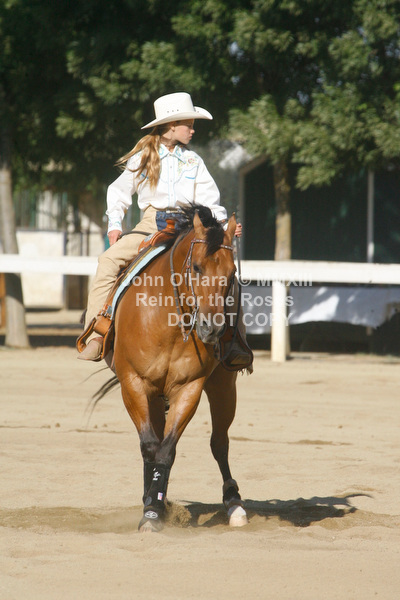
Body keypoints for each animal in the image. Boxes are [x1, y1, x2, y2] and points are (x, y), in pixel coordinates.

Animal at [109, 205, 249, 532]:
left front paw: (154, 509)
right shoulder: (133, 383)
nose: (212, 329)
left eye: (232, 273)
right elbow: (150, 446)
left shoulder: (189, 388)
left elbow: (167, 449)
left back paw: (234, 504)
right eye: (196, 267)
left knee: (219, 442)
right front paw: (151, 505)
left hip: (223, 386)